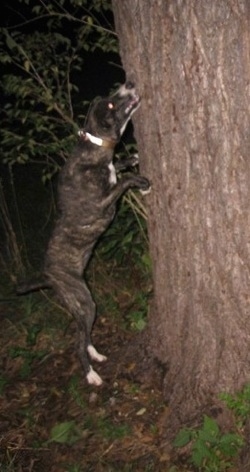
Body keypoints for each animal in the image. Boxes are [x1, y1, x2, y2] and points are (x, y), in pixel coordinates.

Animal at [18, 80, 150, 384]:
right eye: (111, 103)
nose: (129, 82)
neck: (94, 146)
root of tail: (48, 276)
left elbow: (121, 166)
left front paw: (134, 156)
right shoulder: (101, 203)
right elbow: (124, 180)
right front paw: (142, 181)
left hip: (82, 303)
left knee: (85, 335)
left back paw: (95, 354)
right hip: (83, 300)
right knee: (77, 341)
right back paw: (91, 375)